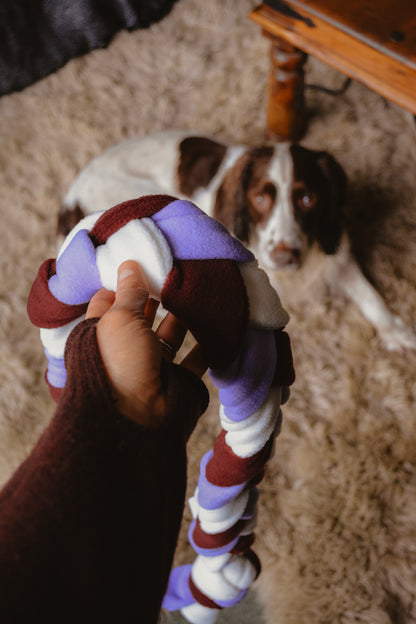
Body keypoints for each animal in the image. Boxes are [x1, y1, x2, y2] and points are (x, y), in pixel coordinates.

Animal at [58, 130, 416, 352]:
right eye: (259, 199)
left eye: (308, 199)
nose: (285, 256)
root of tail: (71, 195)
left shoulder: (336, 254)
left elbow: (370, 295)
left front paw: (396, 331)